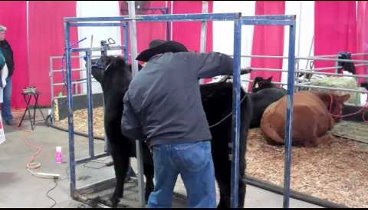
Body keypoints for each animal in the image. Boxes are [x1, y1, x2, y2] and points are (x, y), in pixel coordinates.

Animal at [91, 55, 253, 208]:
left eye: (102, 59)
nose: (91, 61)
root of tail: (236, 90)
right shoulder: (145, 153)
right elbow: (148, 173)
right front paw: (148, 193)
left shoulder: (118, 147)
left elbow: (119, 174)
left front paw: (113, 198)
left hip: (222, 154)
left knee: (233, 186)